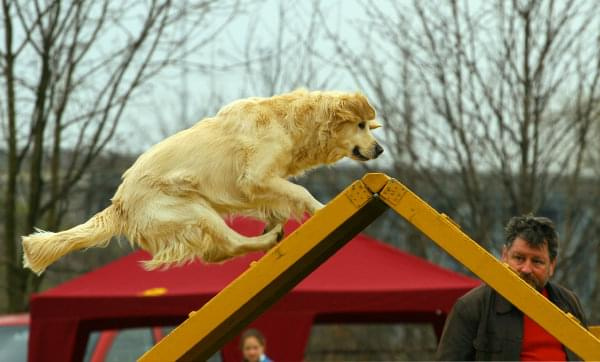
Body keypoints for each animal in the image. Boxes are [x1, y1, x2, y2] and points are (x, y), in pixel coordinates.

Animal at [22, 89, 384, 272]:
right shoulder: (255, 176)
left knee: (214, 253)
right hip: (192, 211)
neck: (287, 121)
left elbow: (280, 199)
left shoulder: (260, 185)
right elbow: (301, 191)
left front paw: (277, 217)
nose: (379, 149)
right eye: (360, 125)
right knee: (229, 244)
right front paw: (322, 209)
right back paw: (268, 239)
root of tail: (119, 203)